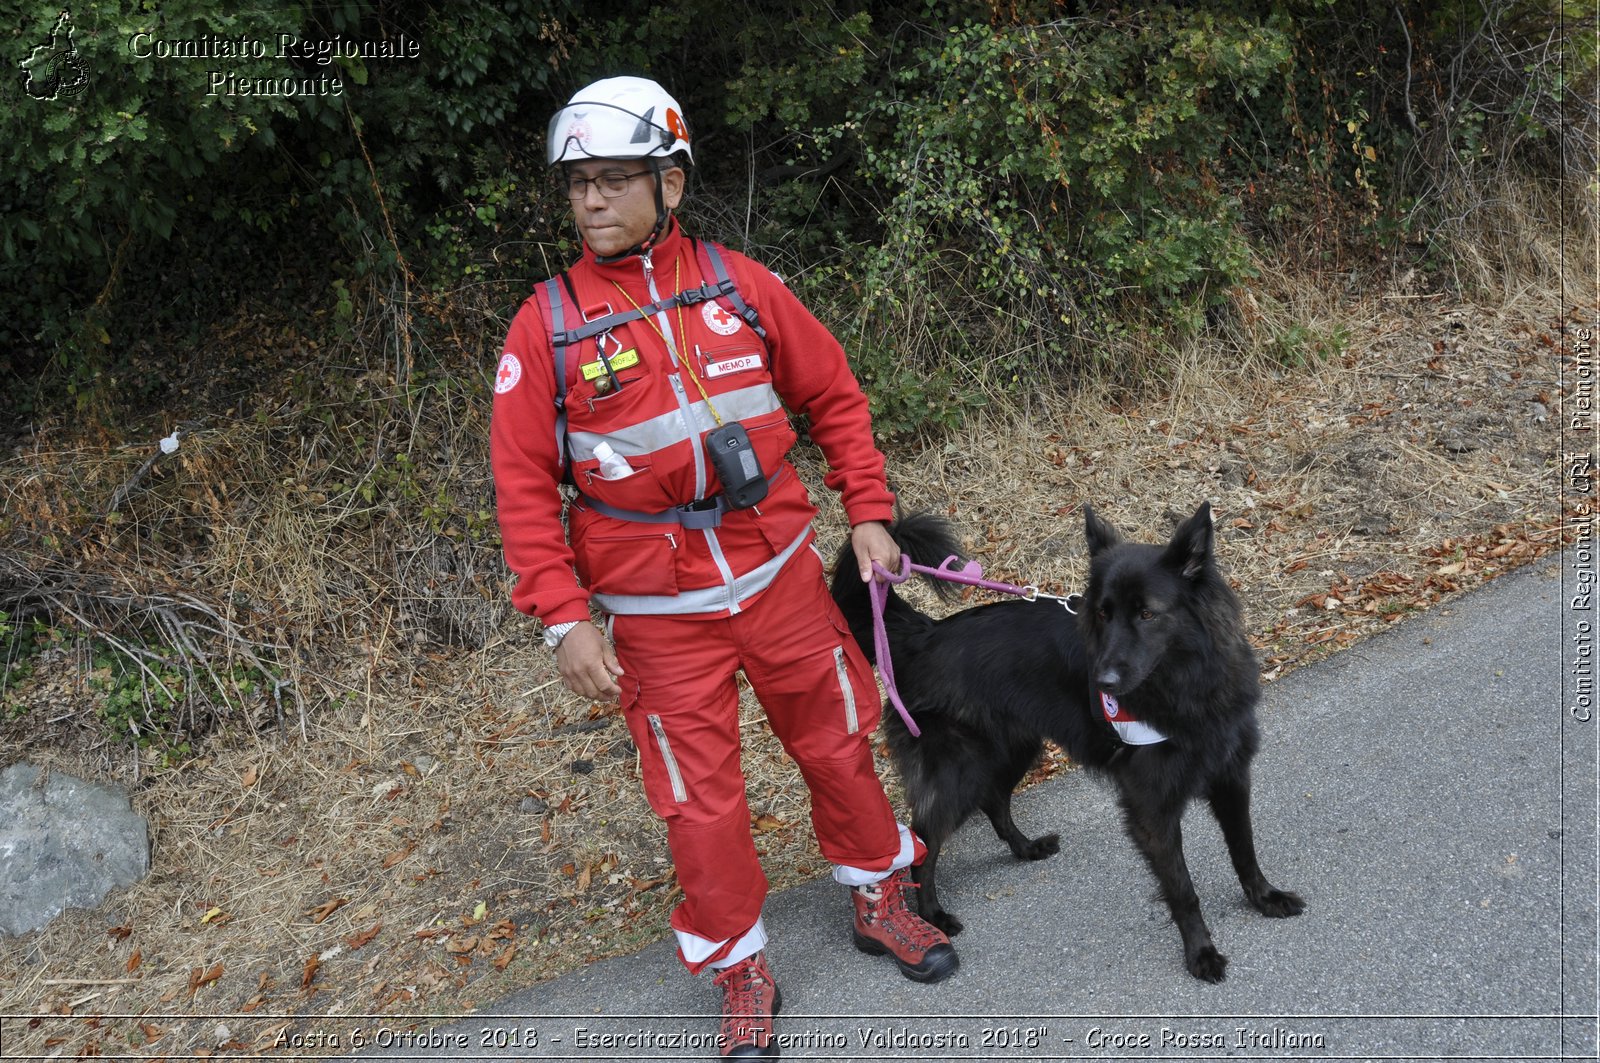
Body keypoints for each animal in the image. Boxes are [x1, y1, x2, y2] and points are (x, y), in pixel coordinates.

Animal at [832, 502, 1305, 986]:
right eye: (1103, 614)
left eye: (1147, 614)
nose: (1103, 682)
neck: (1184, 687)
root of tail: (924, 634)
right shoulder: (1152, 808)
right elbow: (1182, 889)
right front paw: (1201, 952)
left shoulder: (1231, 777)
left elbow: (1245, 850)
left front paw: (1264, 898)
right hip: (960, 773)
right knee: (925, 839)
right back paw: (931, 914)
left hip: (1012, 751)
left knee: (994, 801)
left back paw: (1025, 849)